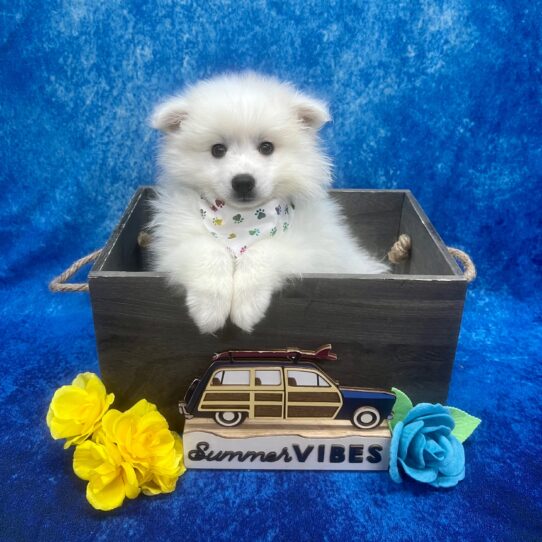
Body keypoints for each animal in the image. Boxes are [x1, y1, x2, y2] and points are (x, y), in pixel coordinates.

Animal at [151, 73, 388, 336]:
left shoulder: (312, 251)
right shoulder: (174, 243)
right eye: (218, 150)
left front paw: (246, 305)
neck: (241, 222)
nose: (243, 182)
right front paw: (209, 308)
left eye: (266, 147)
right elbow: (208, 251)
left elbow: (264, 250)